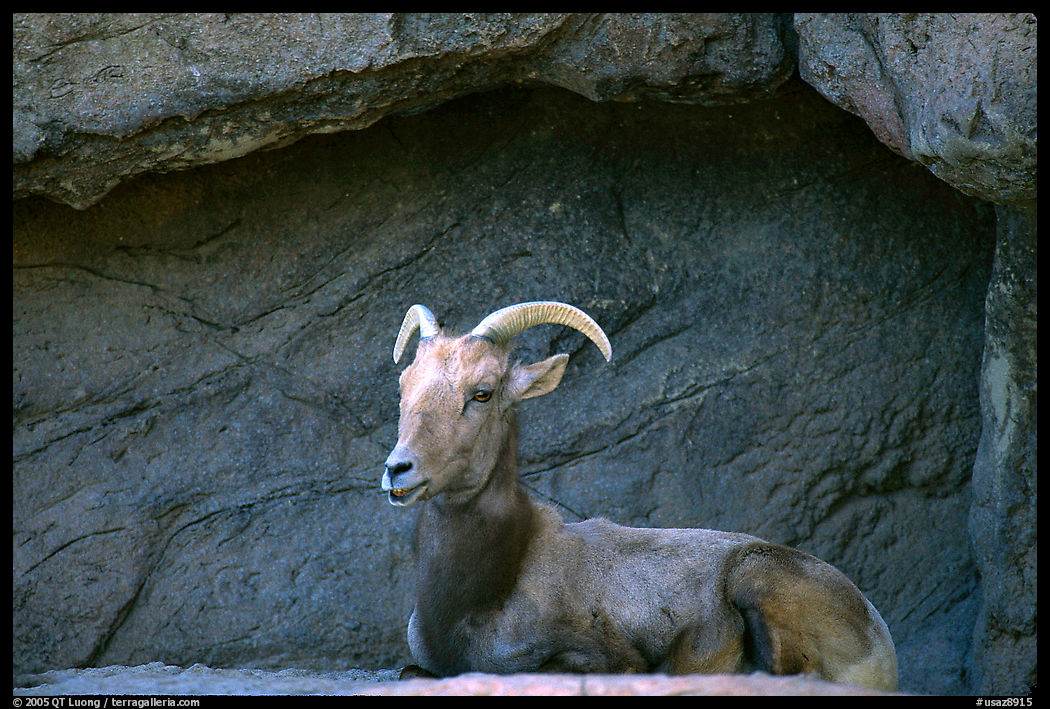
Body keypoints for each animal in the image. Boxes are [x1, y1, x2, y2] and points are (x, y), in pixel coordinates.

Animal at [381, 301, 898, 690]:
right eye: (404, 386)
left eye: (483, 393)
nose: (398, 470)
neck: (478, 597)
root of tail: (879, 640)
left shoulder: (603, 659)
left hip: (757, 574)